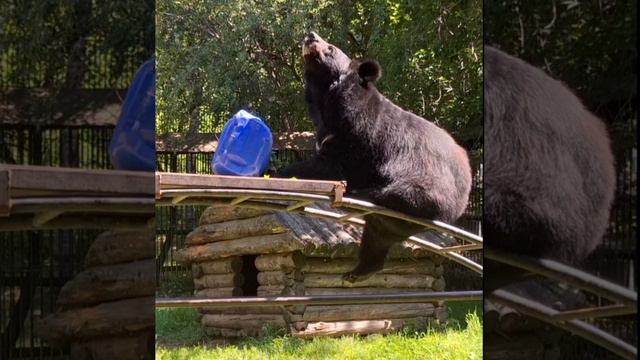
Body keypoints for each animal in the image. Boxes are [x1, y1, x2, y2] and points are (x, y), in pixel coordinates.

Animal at [278, 33, 470, 282]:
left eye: (330, 48)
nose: (310, 35)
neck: (329, 98)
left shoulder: (358, 136)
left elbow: (335, 166)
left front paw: (283, 172)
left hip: (426, 185)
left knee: (397, 196)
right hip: (393, 220)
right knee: (376, 237)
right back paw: (357, 272)